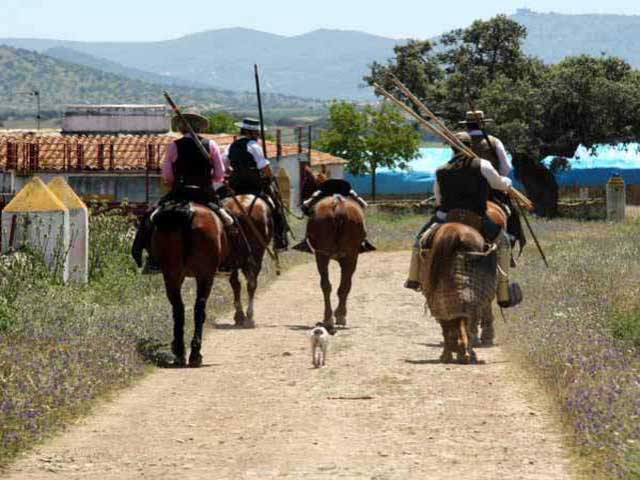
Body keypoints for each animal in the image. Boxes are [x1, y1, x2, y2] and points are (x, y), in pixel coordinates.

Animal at [151, 203, 229, 368]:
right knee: (198, 308)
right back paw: (193, 353)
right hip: (204, 275)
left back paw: (181, 352)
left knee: (179, 308)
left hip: (172, 274)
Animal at [222, 194, 272, 326]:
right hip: (256, 255)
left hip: (233, 258)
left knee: (236, 284)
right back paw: (249, 316)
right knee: (251, 283)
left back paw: (240, 316)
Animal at [422, 200, 508, 364]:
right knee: (468, 318)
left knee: (446, 319)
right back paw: (468, 353)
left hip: (440, 288)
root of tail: (453, 230)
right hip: (468, 290)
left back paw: (449, 354)